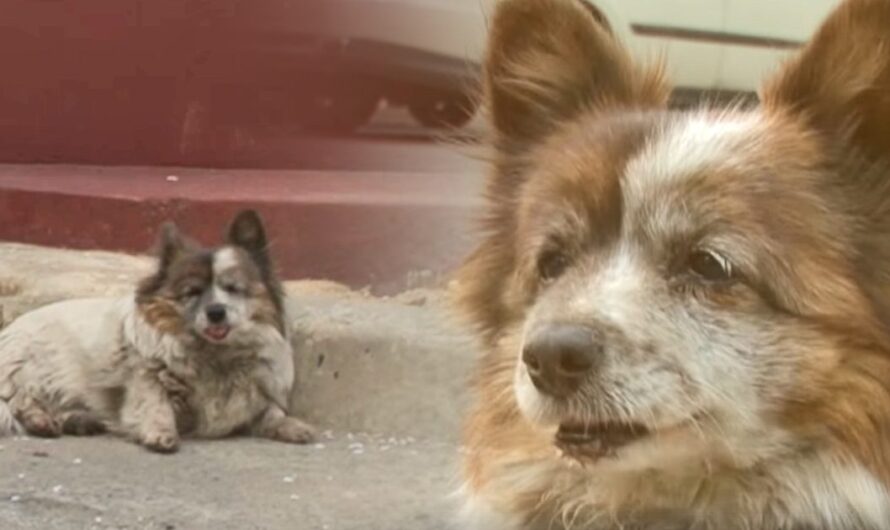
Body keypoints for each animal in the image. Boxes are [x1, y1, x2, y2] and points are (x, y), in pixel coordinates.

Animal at [0, 209, 316, 450]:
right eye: (192, 292)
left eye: (233, 288)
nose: (216, 313)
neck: (214, 355)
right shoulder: (146, 379)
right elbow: (155, 403)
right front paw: (160, 432)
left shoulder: (251, 400)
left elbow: (271, 413)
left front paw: (291, 425)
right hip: (32, 371)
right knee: (20, 402)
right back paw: (42, 420)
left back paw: (78, 421)